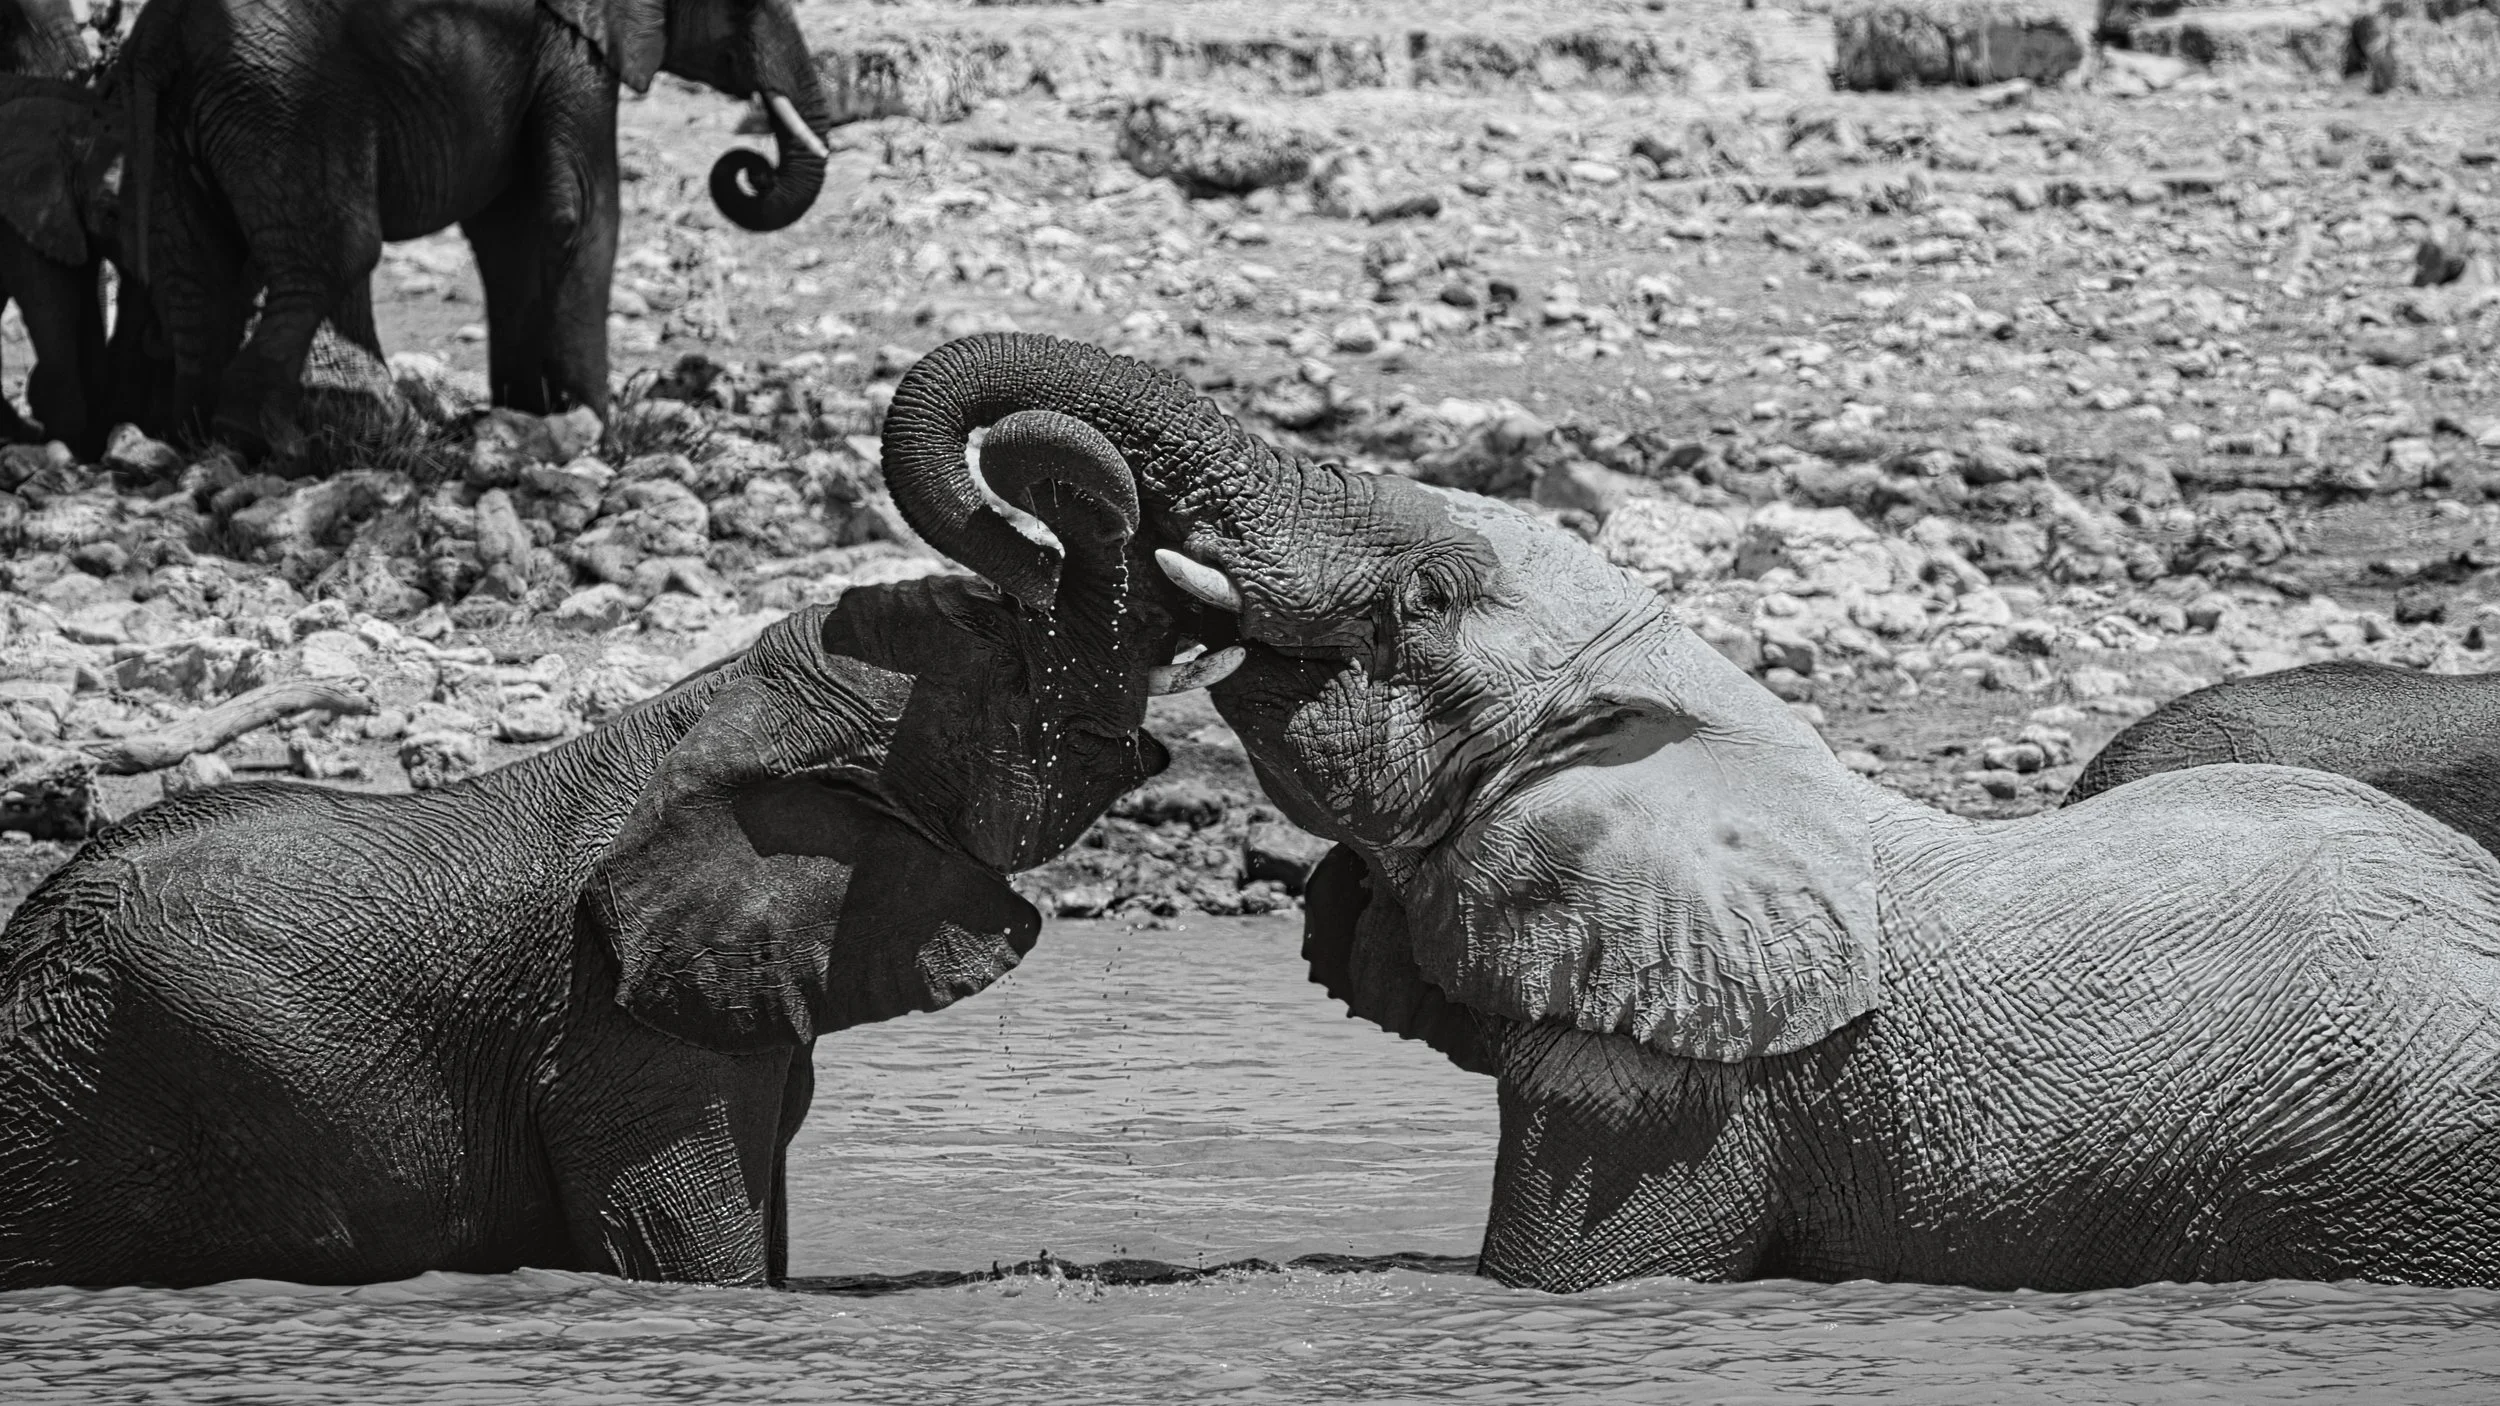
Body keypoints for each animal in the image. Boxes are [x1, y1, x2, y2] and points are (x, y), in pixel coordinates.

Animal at [117, 0, 834, 463]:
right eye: (746, 3)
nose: (752, 168)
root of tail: (162, 33)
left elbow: (510, 229)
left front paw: (529, 418)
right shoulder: (571, 50)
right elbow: (583, 213)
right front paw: (602, 440)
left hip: (185, 118)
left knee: (198, 277)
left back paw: (193, 439)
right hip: (286, 97)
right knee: (340, 254)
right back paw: (278, 445)